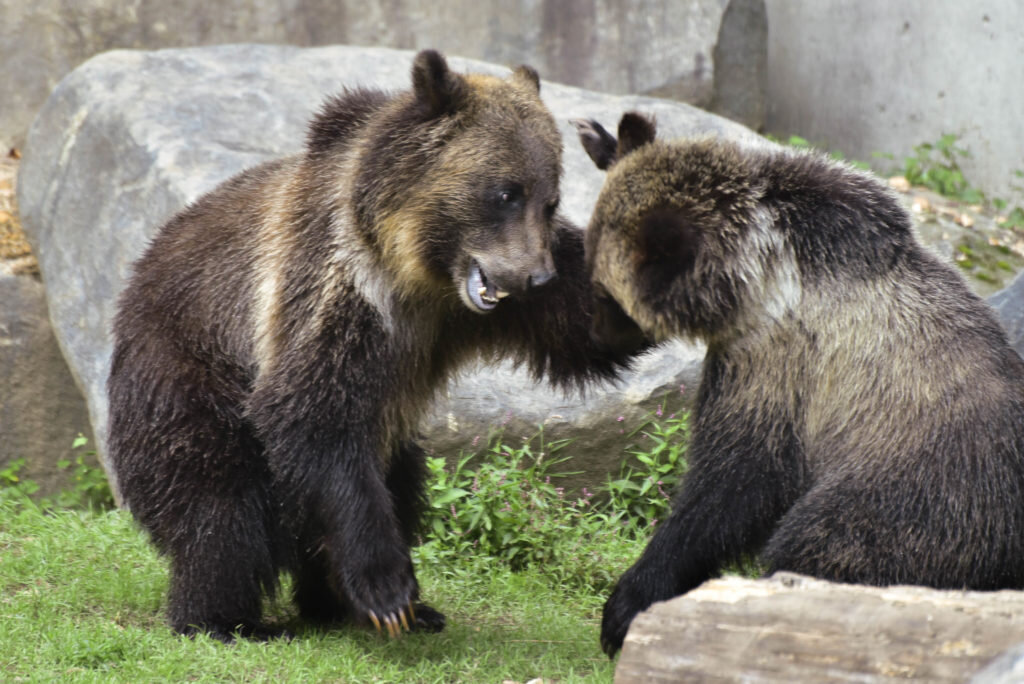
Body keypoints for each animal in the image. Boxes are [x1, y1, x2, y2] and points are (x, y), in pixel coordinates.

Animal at [108, 50, 634, 643]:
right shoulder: (331, 285)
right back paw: (222, 619)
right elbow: (311, 412)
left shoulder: (460, 315)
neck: (417, 269)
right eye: (505, 192)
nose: (535, 278)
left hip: (389, 434)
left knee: (400, 482)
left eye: (551, 200)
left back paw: (349, 604)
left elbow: (589, 331)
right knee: (220, 506)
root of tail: (136, 277)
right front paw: (388, 589)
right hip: (187, 369)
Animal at [581, 113, 1024, 655]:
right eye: (589, 268)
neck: (760, 275)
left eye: (605, 293)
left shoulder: (776, 368)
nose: (595, 336)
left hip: (927, 495)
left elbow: (732, 487)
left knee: (825, 545)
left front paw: (629, 604)